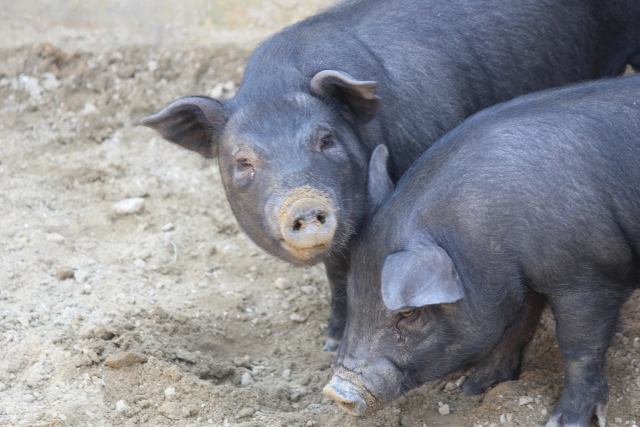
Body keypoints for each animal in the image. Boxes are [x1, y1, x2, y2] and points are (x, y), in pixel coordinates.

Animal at [324, 74, 640, 427]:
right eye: (354, 298)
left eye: (408, 313)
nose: (336, 391)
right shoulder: (520, 278)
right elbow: (518, 324)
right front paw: (473, 388)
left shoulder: (589, 275)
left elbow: (579, 347)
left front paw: (562, 421)